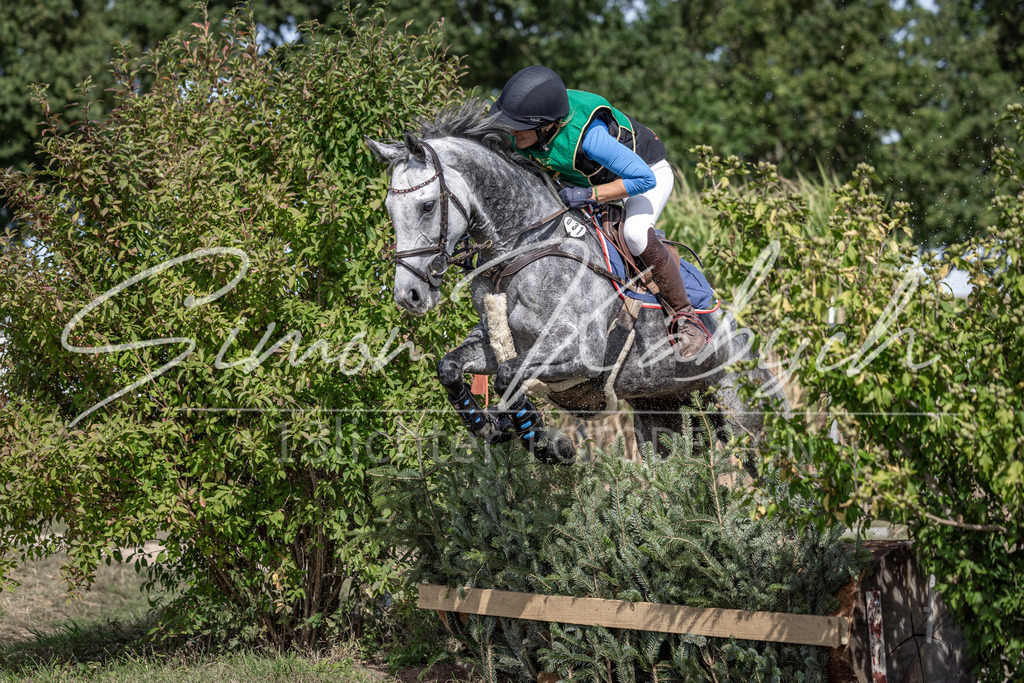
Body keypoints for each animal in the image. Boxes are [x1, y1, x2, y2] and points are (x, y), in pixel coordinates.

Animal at [366, 101, 784, 468]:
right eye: (388, 209)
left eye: (426, 206)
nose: (409, 295)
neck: (523, 249)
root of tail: (745, 340)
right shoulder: (494, 342)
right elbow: (451, 367)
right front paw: (488, 426)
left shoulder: (578, 351)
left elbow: (507, 375)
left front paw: (542, 441)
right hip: (660, 416)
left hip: (743, 417)